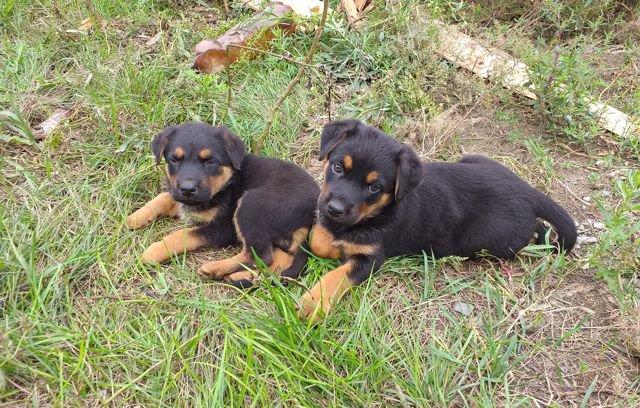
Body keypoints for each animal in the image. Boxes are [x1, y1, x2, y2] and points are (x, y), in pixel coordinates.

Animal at [126, 121, 318, 286]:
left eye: (210, 161)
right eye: (174, 159)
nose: (187, 189)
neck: (226, 183)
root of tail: (312, 216)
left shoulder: (223, 228)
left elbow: (183, 234)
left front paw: (154, 251)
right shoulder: (181, 195)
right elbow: (165, 197)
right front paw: (135, 217)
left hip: (250, 204)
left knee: (262, 255)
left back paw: (215, 268)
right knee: (280, 258)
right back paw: (242, 277)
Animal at [302, 119, 576, 320]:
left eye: (374, 188)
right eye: (338, 168)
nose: (335, 209)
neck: (376, 213)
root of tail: (527, 191)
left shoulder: (372, 257)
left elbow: (339, 275)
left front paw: (313, 304)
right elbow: (318, 239)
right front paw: (334, 245)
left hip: (489, 240)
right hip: (473, 158)